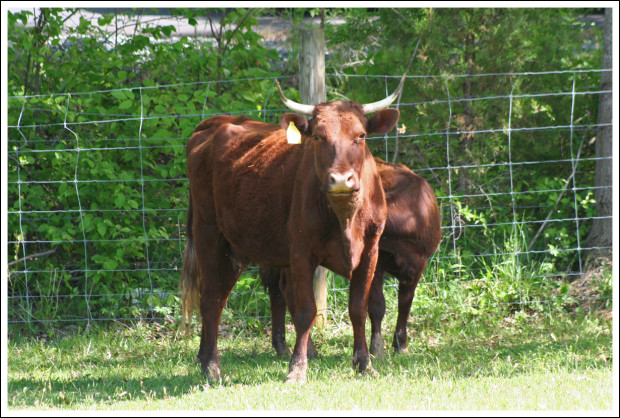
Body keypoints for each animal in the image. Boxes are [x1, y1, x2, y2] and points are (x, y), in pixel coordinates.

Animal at [179, 77, 404, 382]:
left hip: (235, 248)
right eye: (318, 137)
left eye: (361, 135)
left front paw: (364, 363)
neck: (345, 217)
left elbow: (358, 308)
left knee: (218, 296)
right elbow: (305, 311)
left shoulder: (371, 251)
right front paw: (297, 368)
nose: (340, 179)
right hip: (208, 233)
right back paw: (212, 368)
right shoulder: (301, 253)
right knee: (211, 299)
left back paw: (203, 356)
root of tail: (216, 122)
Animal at [260, 158, 440, 358]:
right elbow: (377, 305)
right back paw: (306, 348)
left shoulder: (417, 266)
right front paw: (377, 348)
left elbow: (405, 303)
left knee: (277, 291)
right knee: (287, 290)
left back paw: (282, 346)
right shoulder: (377, 263)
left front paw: (401, 344)